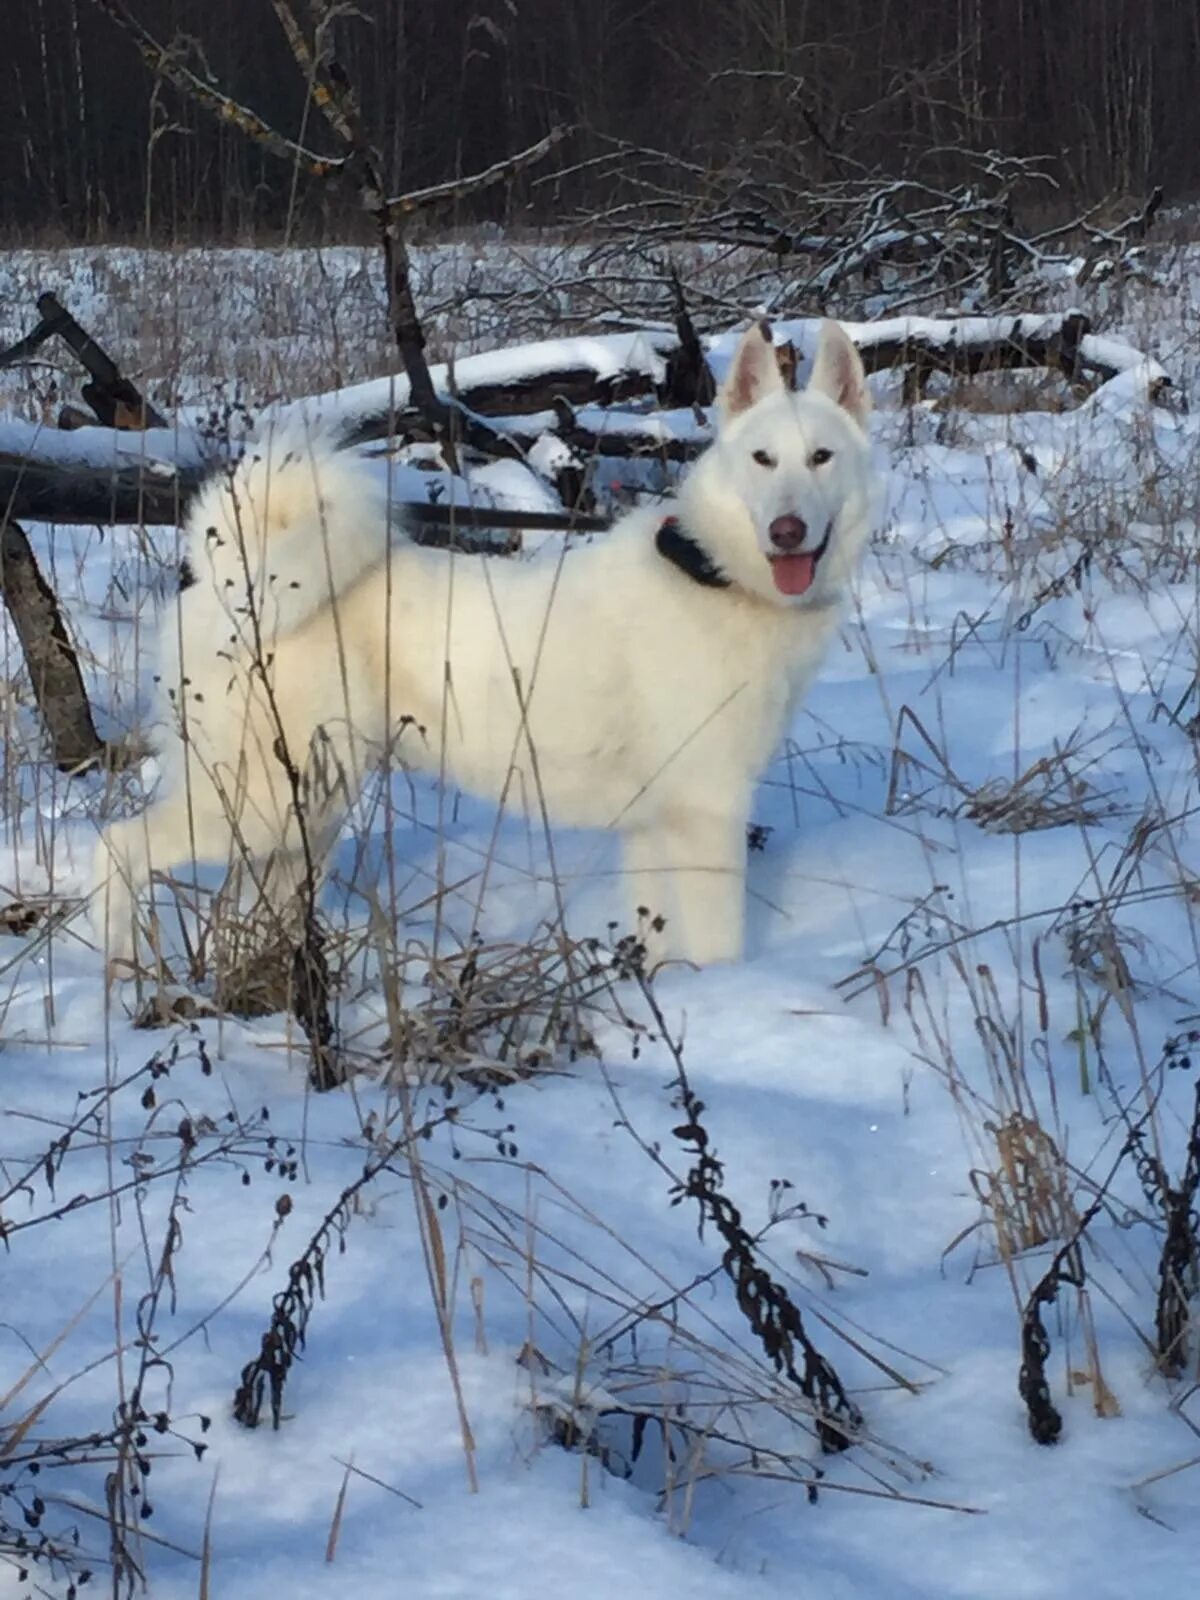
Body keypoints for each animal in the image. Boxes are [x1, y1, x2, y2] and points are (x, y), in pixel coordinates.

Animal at [94, 320, 876, 966]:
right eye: (763, 460)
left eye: (822, 457)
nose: (786, 531)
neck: (715, 572)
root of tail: (233, 571)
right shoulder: (707, 817)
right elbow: (720, 949)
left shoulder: (654, 831)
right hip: (256, 801)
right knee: (117, 848)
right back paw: (125, 978)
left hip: (305, 811)